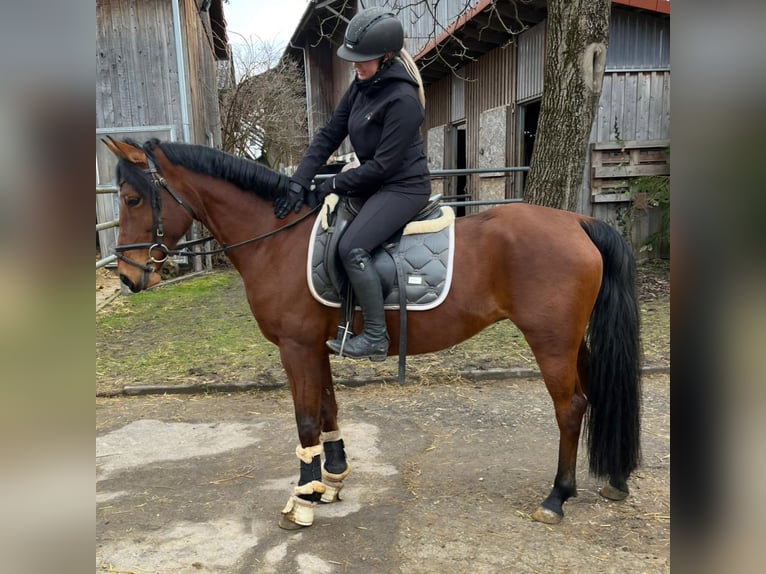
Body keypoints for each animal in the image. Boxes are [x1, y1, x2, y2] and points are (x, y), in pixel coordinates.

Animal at [102, 138, 640, 532]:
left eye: (132, 198)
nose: (127, 277)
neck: (278, 239)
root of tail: (579, 221)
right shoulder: (316, 347)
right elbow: (327, 409)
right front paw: (331, 481)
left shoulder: (296, 348)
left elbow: (304, 420)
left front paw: (302, 500)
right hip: (573, 342)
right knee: (597, 393)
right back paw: (614, 479)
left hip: (551, 343)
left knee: (571, 408)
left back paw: (557, 497)